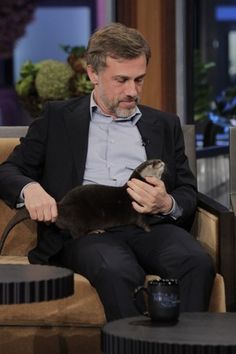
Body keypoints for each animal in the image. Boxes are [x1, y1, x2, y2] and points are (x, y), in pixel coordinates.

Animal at [0, 159, 165, 250]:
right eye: (151, 163)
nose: (160, 161)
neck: (131, 191)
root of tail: (61, 206)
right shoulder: (137, 208)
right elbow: (141, 221)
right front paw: (149, 229)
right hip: (78, 219)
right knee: (76, 235)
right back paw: (95, 231)